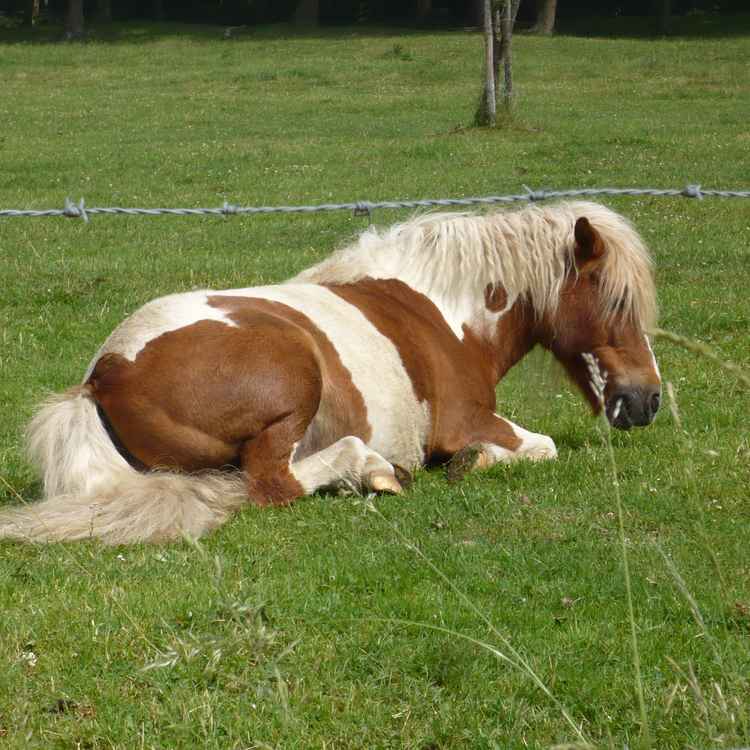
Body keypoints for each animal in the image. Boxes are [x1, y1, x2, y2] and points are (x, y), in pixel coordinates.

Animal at [0, 201, 661, 545]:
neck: (444, 310)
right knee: (275, 483)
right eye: (617, 302)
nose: (648, 400)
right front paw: (471, 463)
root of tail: (103, 376)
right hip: (295, 377)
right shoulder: (468, 420)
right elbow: (542, 445)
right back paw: (372, 471)